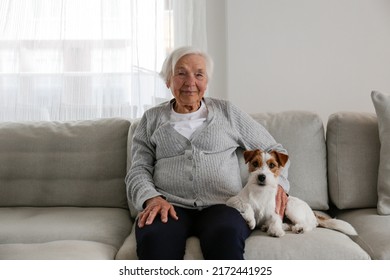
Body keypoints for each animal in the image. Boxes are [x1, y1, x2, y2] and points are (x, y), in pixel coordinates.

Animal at [227, 149, 358, 236]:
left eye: (272, 165)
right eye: (255, 163)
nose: (261, 177)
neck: (261, 192)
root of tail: (313, 213)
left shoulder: (277, 210)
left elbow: (276, 218)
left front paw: (276, 229)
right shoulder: (232, 200)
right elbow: (246, 204)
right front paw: (251, 219)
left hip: (290, 206)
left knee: (310, 225)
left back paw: (299, 228)